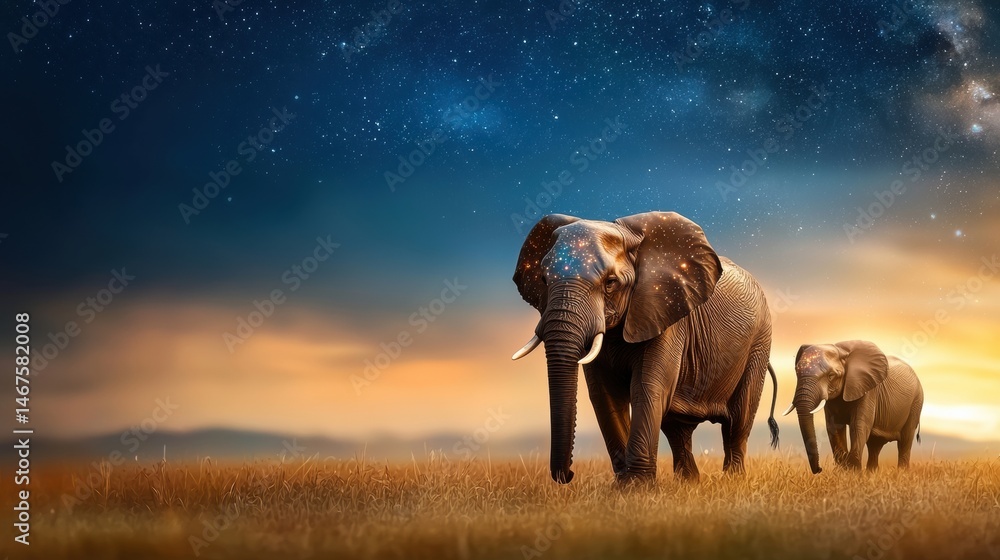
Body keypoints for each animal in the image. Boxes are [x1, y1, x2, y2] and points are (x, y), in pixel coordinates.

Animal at [511, 211, 779, 484]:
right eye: (543, 279)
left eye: (610, 283)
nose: (569, 474)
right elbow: (605, 395)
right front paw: (622, 484)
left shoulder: (663, 313)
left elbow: (647, 388)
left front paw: (635, 486)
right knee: (677, 428)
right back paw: (688, 482)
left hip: (758, 342)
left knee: (738, 420)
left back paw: (733, 479)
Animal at [784, 340, 923, 474]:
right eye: (797, 372)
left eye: (831, 376)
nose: (819, 469)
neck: (842, 351)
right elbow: (834, 427)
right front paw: (843, 472)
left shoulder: (867, 389)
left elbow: (858, 425)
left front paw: (853, 473)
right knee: (875, 444)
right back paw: (871, 474)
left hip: (916, 403)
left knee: (905, 440)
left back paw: (901, 472)